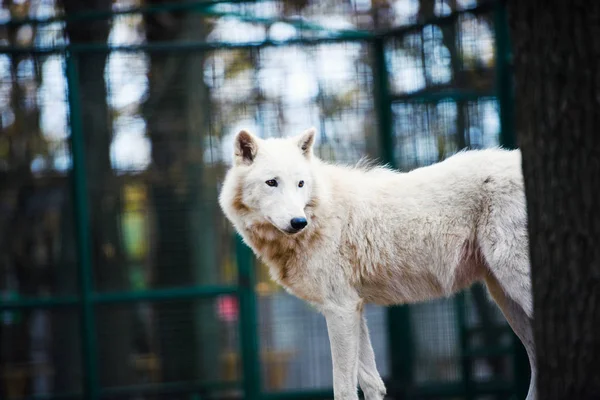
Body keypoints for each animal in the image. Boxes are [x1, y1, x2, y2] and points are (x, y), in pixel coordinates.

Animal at [218, 129, 536, 400]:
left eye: (300, 183)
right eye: (271, 182)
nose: (299, 222)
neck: (321, 213)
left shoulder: (340, 309)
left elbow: (344, 389)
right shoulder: (352, 308)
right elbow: (373, 383)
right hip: (505, 298)